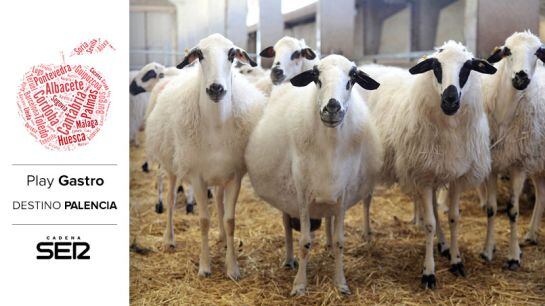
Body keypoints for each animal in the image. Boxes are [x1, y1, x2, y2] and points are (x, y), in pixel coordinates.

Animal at [144, 34, 266, 280]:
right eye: (199, 55)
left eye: (231, 54)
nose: (216, 88)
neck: (217, 125)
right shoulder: (197, 177)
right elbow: (203, 221)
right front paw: (205, 266)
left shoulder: (235, 176)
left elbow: (229, 220)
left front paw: (232, 267)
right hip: (173, 166)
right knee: (171, 199)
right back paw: (169, 239)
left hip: (219, 175)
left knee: (218, 201)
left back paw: (222, 239)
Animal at [244, 54, 380, 294]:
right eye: (316, 77)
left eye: (352, 77)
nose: (332, 107)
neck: (330, 147)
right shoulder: (302, 193)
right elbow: (304, 242)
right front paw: (299, 284)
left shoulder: (344, 192)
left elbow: (340, 241)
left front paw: (341, 283)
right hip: (288, 199)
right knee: (287, 227)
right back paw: (289, 260)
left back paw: (327, 247)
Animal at [364, 41, 496, 290]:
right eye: (436, 66)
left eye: (468, 67)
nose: (450, 99)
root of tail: (366, 67)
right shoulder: (423, 177)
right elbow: (430, 224)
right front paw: (429, 272)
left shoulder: (454, 175)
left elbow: (453, 217)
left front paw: (455, 260)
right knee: (366, 199)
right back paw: (367, 234)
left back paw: (443, 245)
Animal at [476, 30, 544, 268]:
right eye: (507, 51)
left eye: (538, 52)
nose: (521, 77)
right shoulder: (492, 166)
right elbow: (491, 209)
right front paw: (487, 251)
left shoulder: (519, 165)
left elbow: (513, 211)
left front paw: (513, 256)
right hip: (538, 163)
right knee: (542, 194)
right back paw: (530, 235)